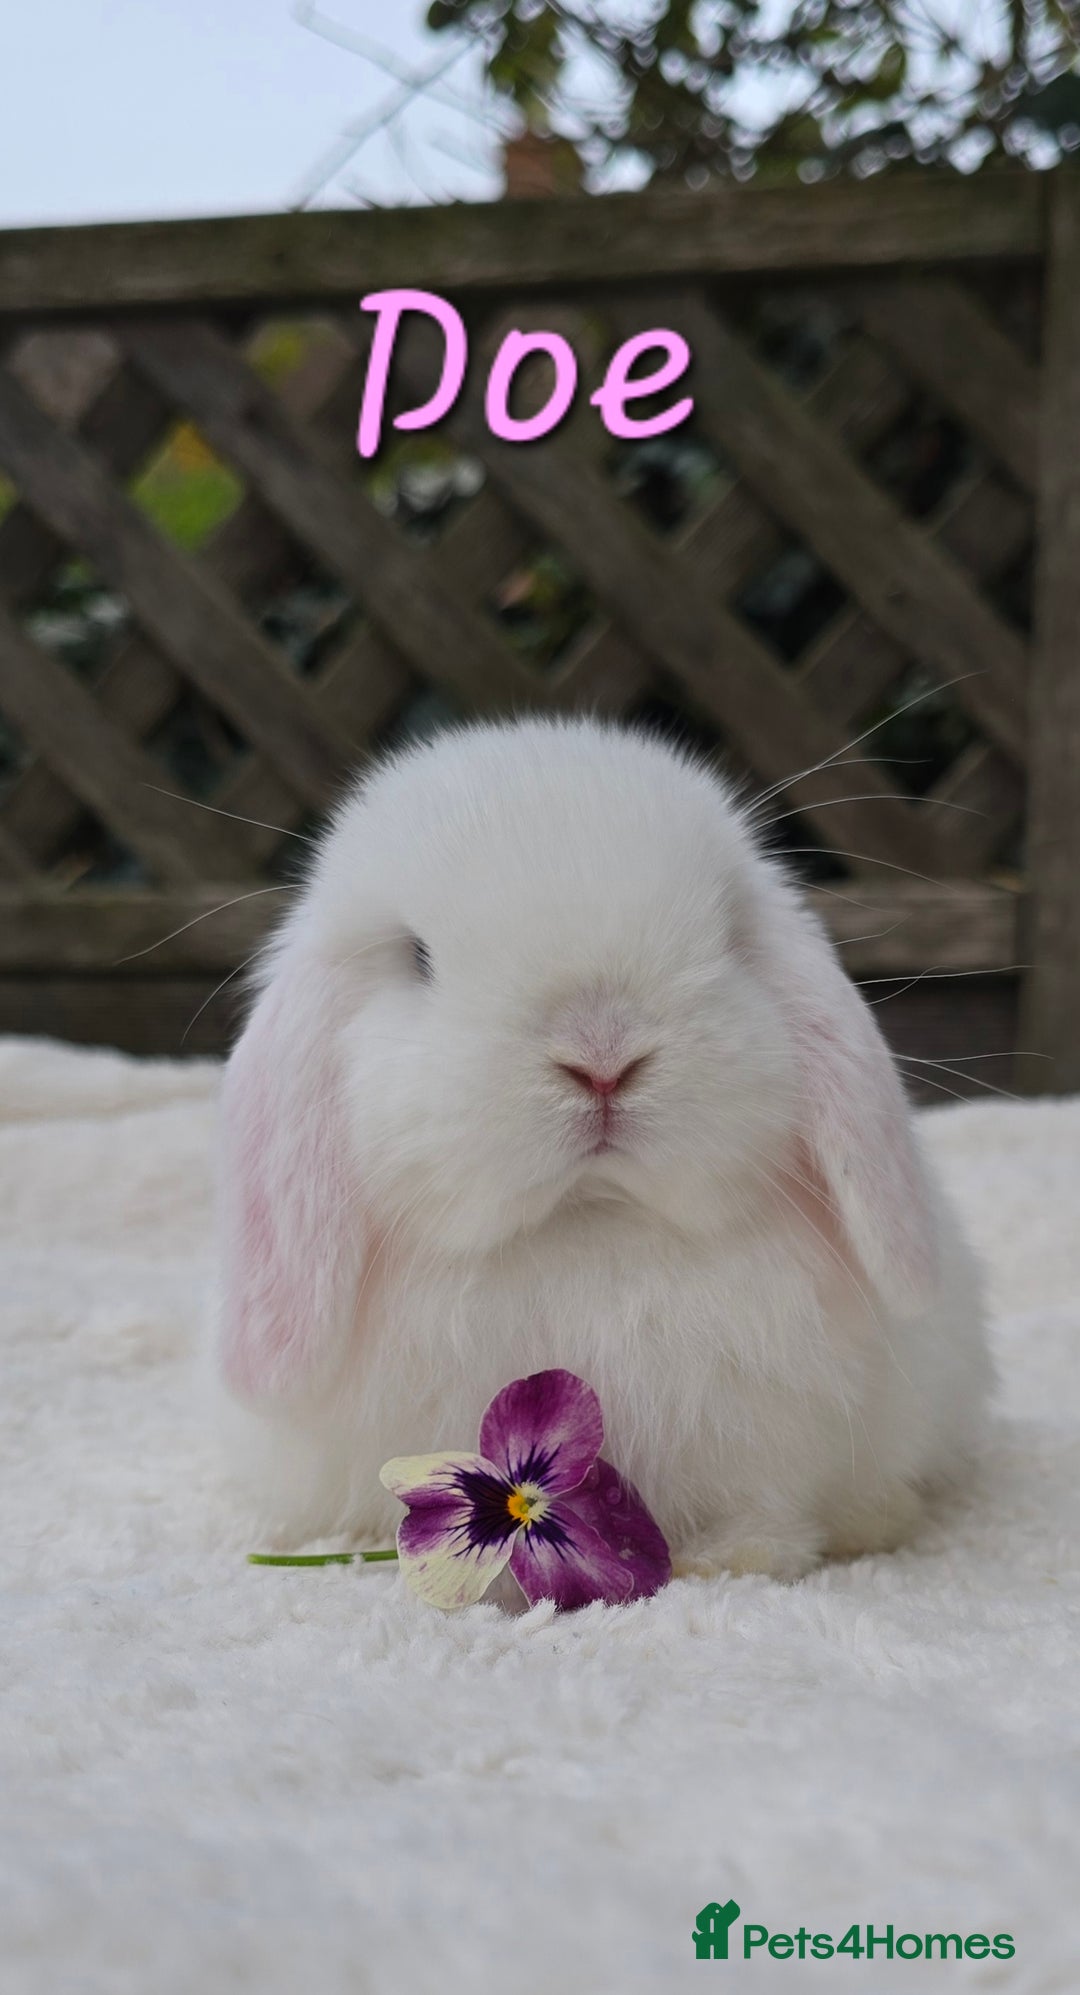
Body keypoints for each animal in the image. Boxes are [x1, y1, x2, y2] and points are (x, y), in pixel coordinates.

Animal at [210, 716, 990, 1579]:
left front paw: (732, 1558)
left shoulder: (773, 1452)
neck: (587, 1222)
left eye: (728, 934)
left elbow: (766, 1512)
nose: (602, 1055)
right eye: (417, 956)